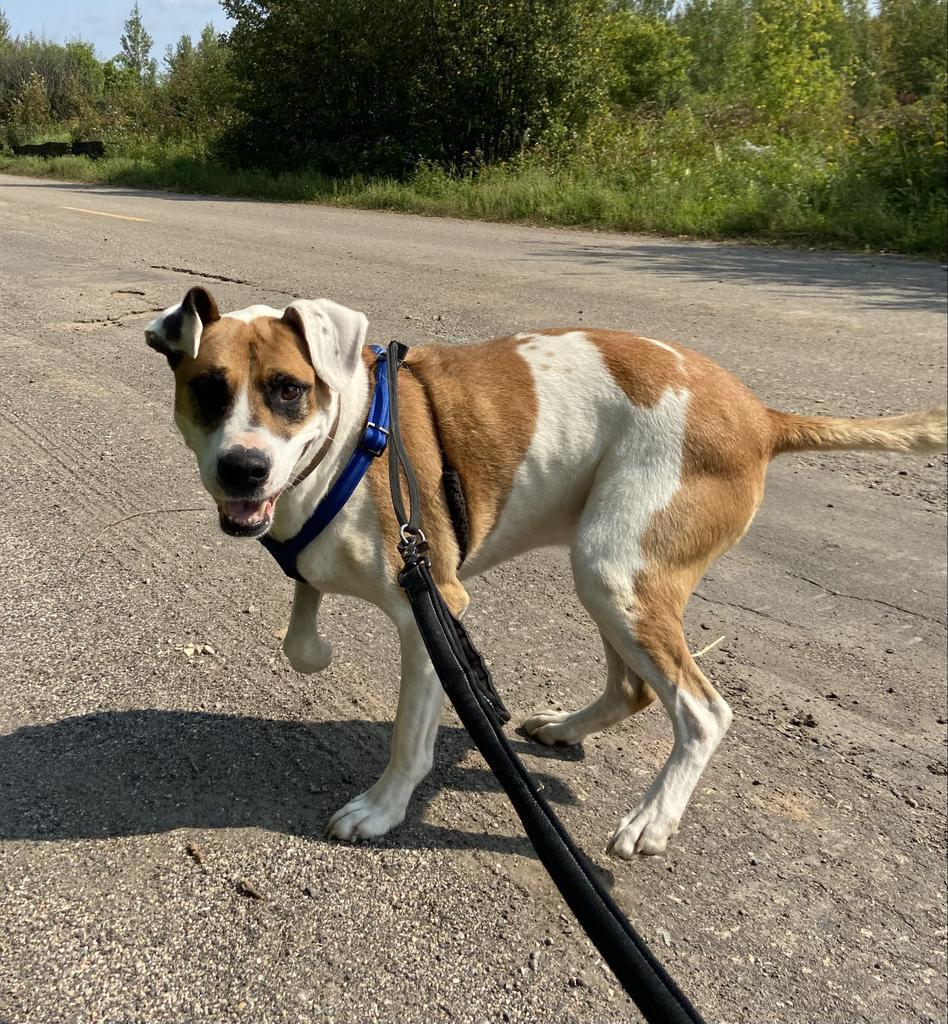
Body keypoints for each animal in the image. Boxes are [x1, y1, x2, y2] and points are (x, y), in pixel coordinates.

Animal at [144, 286, 945, 856]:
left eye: (287, 388)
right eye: (209, 388)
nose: (242, 468)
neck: (347, 442)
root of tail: (760, 414)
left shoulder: (432, 607)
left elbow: (409, 738)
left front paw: (382, 809)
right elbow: (301, 631)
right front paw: (315, 644)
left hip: (615, 572)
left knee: (701, 711)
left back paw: (653, 818)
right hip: (613, 575)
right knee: (633, 688)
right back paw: (564, 729)